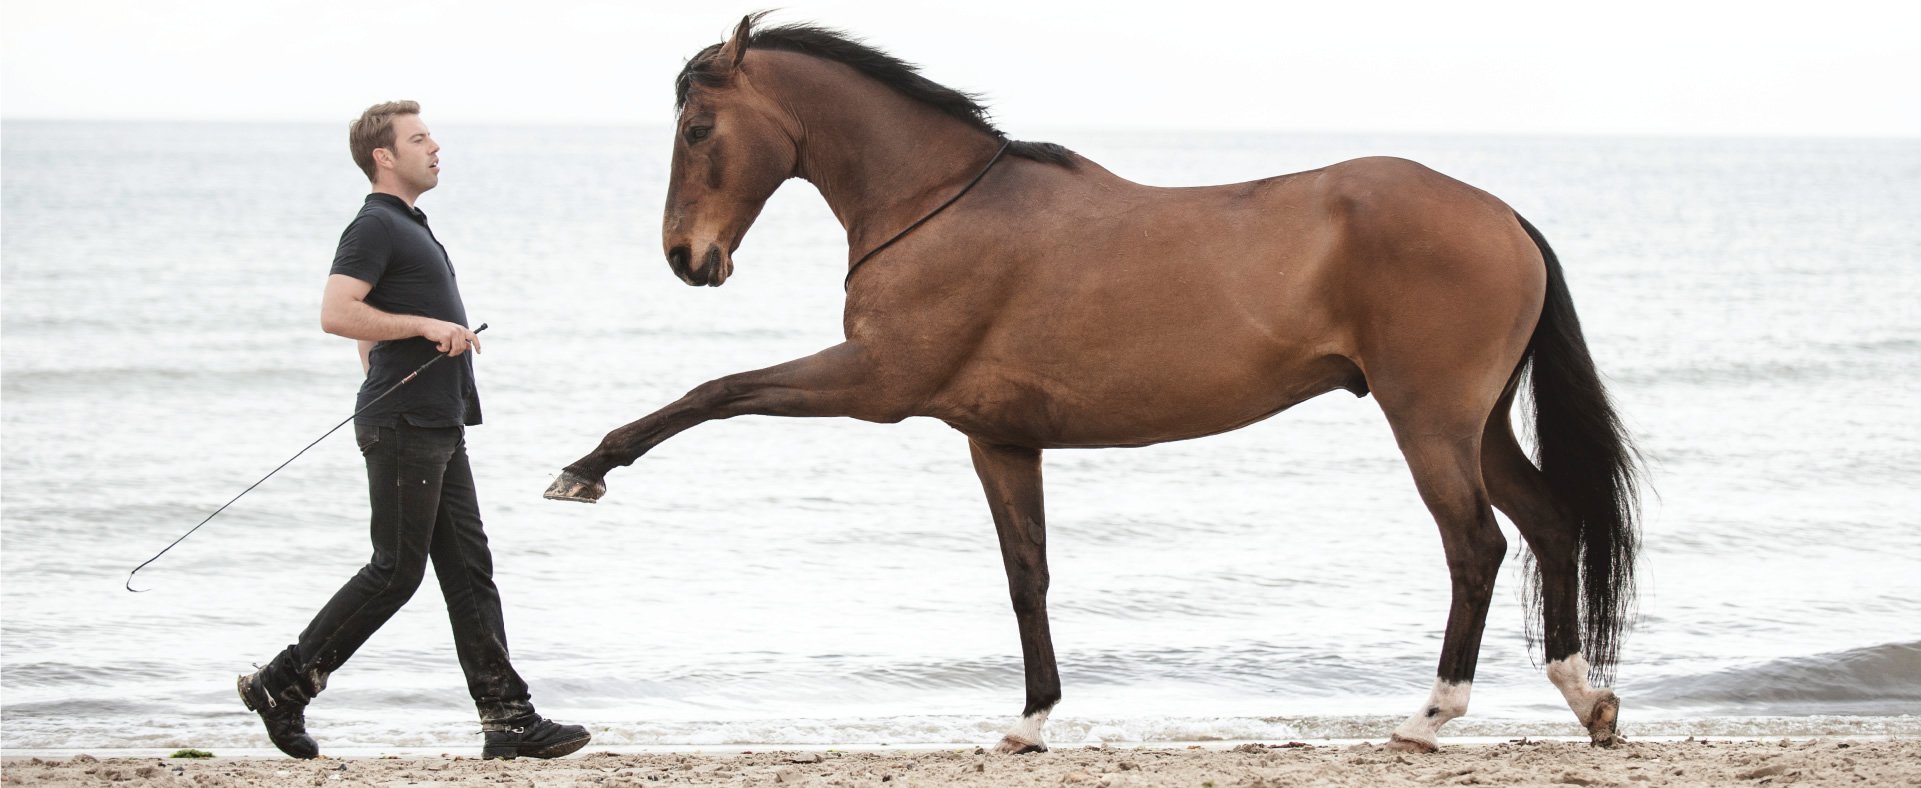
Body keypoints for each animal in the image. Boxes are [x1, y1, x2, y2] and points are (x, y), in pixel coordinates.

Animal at [546, 13, 1642, 754]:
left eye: (696, 127)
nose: (686, 258)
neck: (939, 205)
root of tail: (1501, 215)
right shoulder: (997, 437)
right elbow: (1025, 574)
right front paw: (1031, 720)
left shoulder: (872, 383)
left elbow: (715, 389)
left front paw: (586, 468)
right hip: (1476, 423)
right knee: (1549, 523)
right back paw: (1583, 697)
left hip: (1429, 421)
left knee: (1476, 546)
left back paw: (1429, 716)